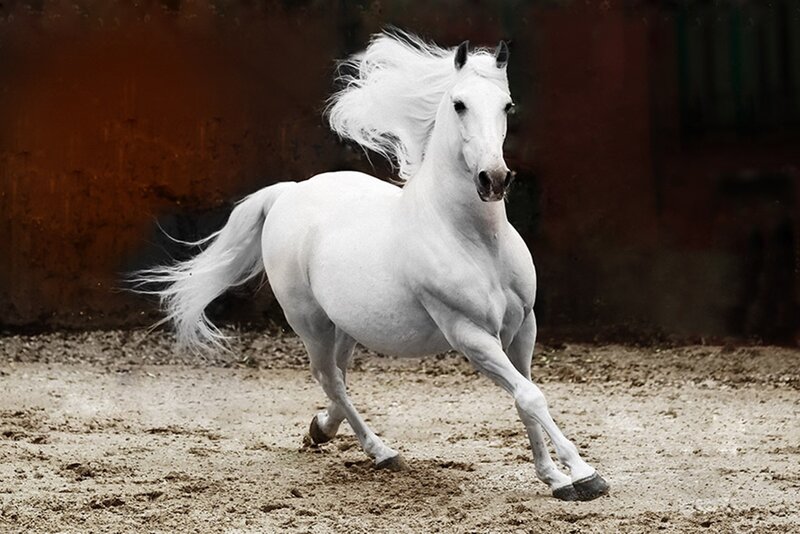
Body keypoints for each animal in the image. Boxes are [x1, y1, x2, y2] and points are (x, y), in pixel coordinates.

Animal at [133, 31, 609, 501]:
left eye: (506, 106)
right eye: (459, 104)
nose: (493, 179)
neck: (473, 240)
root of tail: (287, 192)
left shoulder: (522, 325)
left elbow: (526, 395)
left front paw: (554, 477)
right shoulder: (470, 334)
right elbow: (529, 396)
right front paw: (585, 475)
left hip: (345, 324)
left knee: (338, 379)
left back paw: (322, 430)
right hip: (310, 322)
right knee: (329, 378)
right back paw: (380, 451)